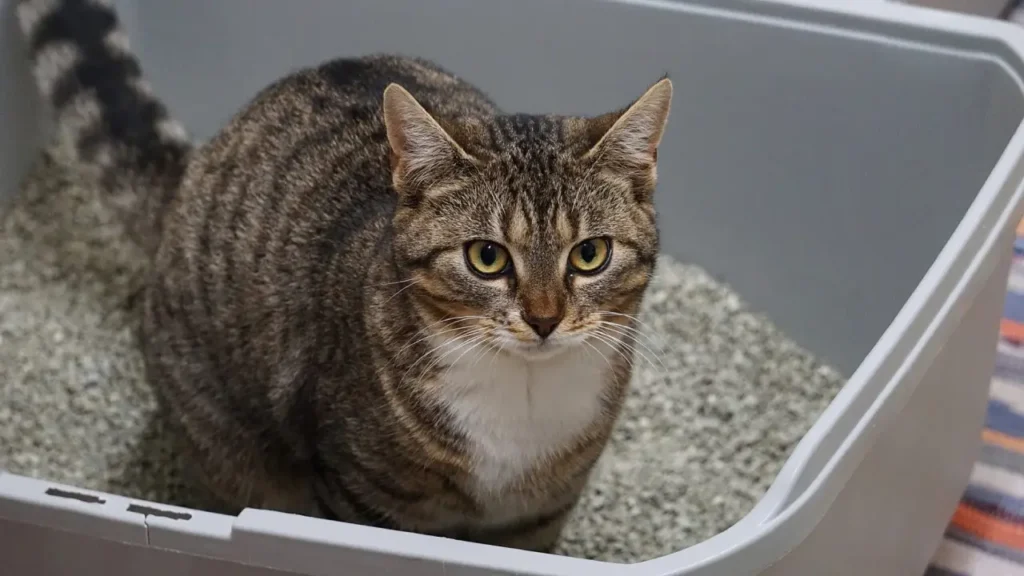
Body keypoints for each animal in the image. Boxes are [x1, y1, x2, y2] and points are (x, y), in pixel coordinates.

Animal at [18, 0, 671, 549]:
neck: (523, 399)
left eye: (589, 255)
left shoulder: (542, 511)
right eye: (487, 258)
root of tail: (192, 173)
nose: (543, 318)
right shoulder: (360, 491)